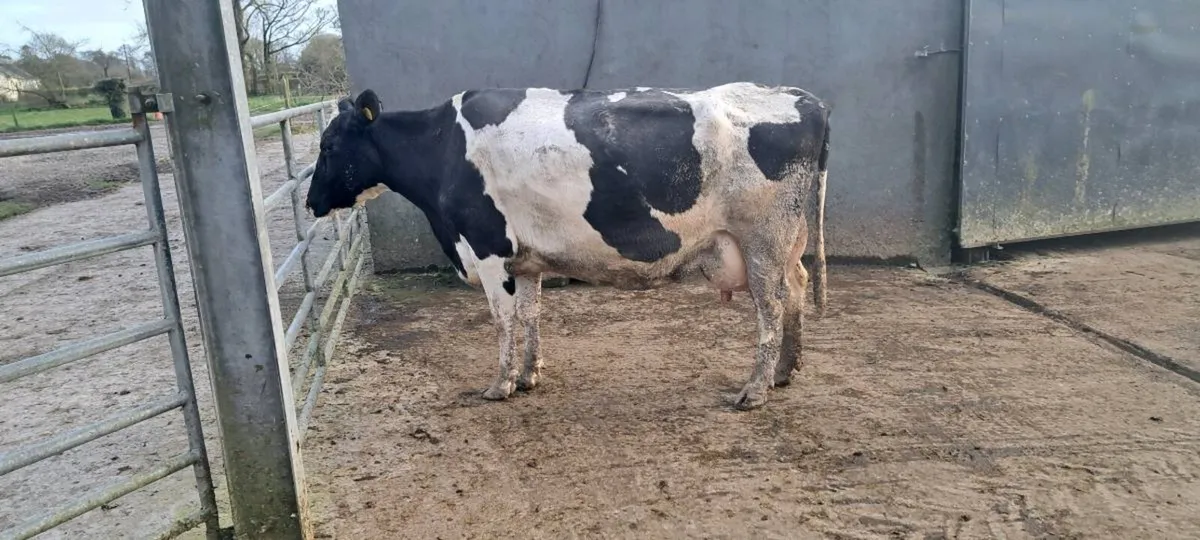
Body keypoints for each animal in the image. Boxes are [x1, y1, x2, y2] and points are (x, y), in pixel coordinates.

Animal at [305, 82, 830, 410]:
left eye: (328, 146)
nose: (310, 202)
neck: (442, 148)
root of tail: (802, 98)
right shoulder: (525, 259)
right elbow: (531, 313)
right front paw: (529, 374)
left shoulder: (488, 248)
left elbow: (503, 320)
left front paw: (499, 384)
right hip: (790, 239)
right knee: (798, 286)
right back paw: (786, 371)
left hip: (762, 239)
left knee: (771, 306)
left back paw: (755, 390)